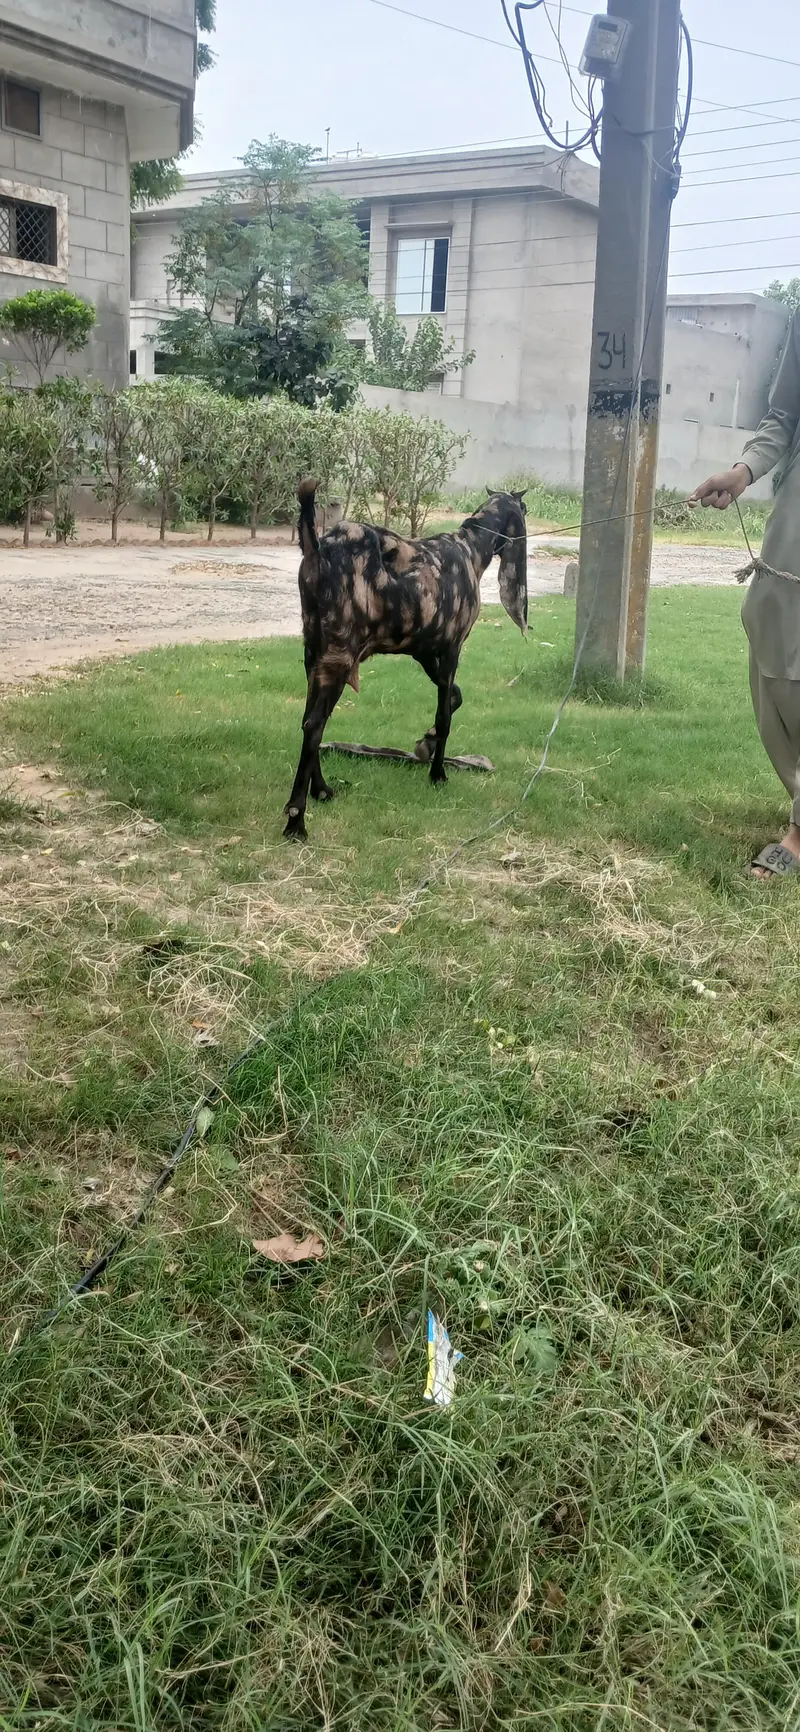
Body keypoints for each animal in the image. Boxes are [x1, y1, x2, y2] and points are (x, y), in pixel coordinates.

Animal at [283, 479, 528, 841]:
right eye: (524, 510)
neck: (471, 549)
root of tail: (317, 549)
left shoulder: (423, 650)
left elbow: (455, 695)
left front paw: (426, 742)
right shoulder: (452, 647)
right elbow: (445, 715)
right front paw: (437, 773)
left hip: (312, 651)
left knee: (306, 719)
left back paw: (322, 790)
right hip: (339, 653)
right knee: (315, 724)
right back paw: (296, 820)